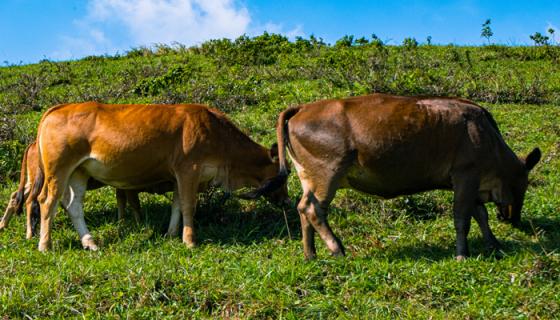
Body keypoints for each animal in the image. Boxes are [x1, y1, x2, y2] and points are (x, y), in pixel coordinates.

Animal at [33, 102, 286, 252]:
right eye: (282, 177)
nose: (286, 200)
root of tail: (59, 108)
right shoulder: (189, 170)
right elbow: (188, 206)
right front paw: (189, 240)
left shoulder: (178, 177)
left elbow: (177, 206)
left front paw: (172, 233)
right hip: (59, 169)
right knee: (47, 202)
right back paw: (45, 245)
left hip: (79, 172)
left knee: (74, 206)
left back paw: (90, 242)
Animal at [255, 92, 544, 260]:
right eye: (524, 184)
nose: (514, 220)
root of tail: (303, 108)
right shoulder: (466, 175)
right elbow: (463, 218)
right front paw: (463, 255)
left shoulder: (469, 183)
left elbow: (480, 215)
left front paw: (493, 244)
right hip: (328, 173)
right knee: (312, 209)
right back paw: (337, 249)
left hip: (309, 176)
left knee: (304, 209)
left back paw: (310, 254)